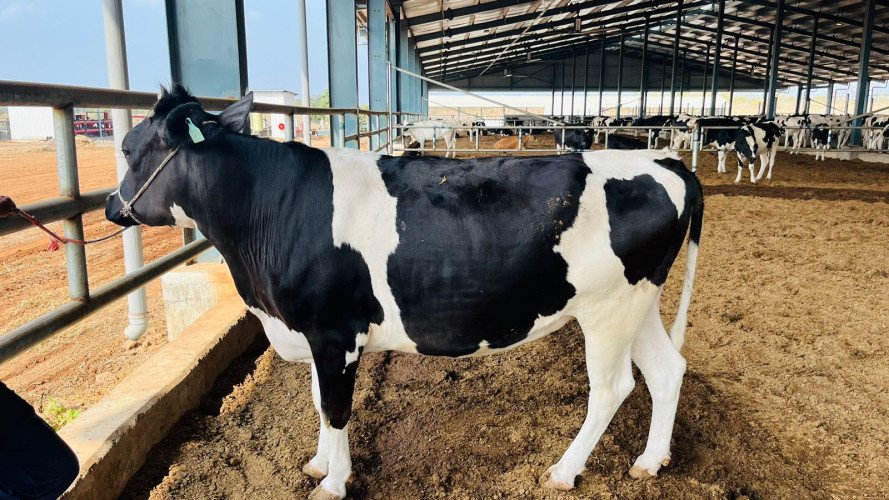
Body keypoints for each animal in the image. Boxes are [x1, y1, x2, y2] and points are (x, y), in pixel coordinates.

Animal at [104, 87, 700, 500]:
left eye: (129, 148)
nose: (111, 206)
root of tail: (665, 163)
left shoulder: (335, 332)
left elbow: (336, 408)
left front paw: (332, 483)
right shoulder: (315, 335)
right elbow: (319, 402)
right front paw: (318, 464)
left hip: (609, 309)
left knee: (613, 387)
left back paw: (563, 471)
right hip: (638, 303)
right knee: (667, 369)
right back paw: (650, 461)